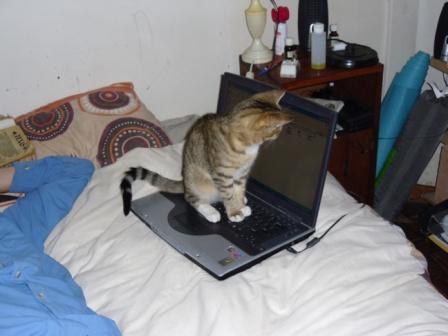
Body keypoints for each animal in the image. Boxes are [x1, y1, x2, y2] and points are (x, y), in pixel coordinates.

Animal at [121, 89, 292, 223]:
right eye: (278, 129)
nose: (279, 135)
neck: (246, 147)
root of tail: (184, 183)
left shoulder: (242, 173)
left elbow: (239, 189)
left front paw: (240, 206)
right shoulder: (222, 175)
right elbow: (228, 194)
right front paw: (235, 212)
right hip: (197, 182)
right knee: (192, 199)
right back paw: (211, 212)